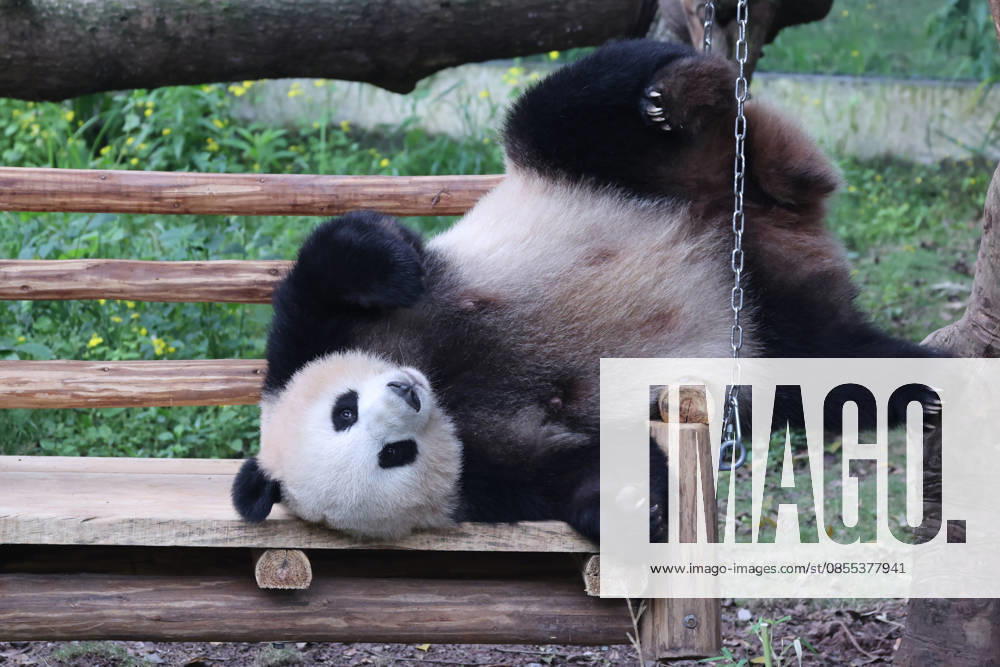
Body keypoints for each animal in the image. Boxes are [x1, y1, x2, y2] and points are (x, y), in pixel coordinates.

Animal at [232, 39, 938, 543]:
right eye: (392, 454)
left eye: (344, 409)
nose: (406, 394)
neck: (447, 385)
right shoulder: (485, 476)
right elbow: (580, 468)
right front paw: (639, 507)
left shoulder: (311, 339)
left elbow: (333, 260)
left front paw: (399, 263)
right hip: (774, 321)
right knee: (826, 367)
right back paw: (927, 383)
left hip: (609, 171)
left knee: (569, 110)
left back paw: (680, 92)